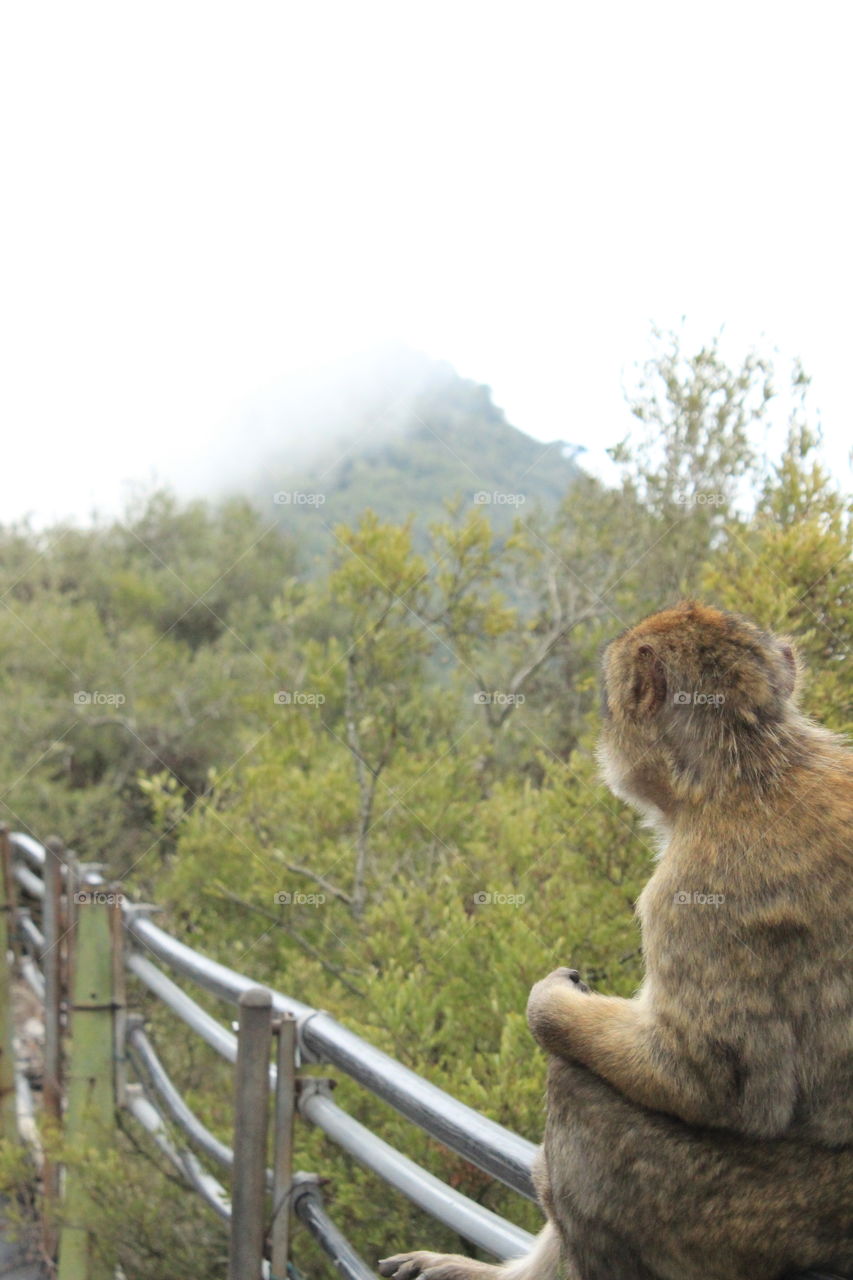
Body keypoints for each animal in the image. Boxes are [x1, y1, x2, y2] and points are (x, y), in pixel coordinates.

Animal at [379, 601, 850, 1280]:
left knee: (578, 1087)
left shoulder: (685, 890)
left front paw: (549, 1004)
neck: (742, 769)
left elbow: (712, 1079)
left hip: (746, 1225)